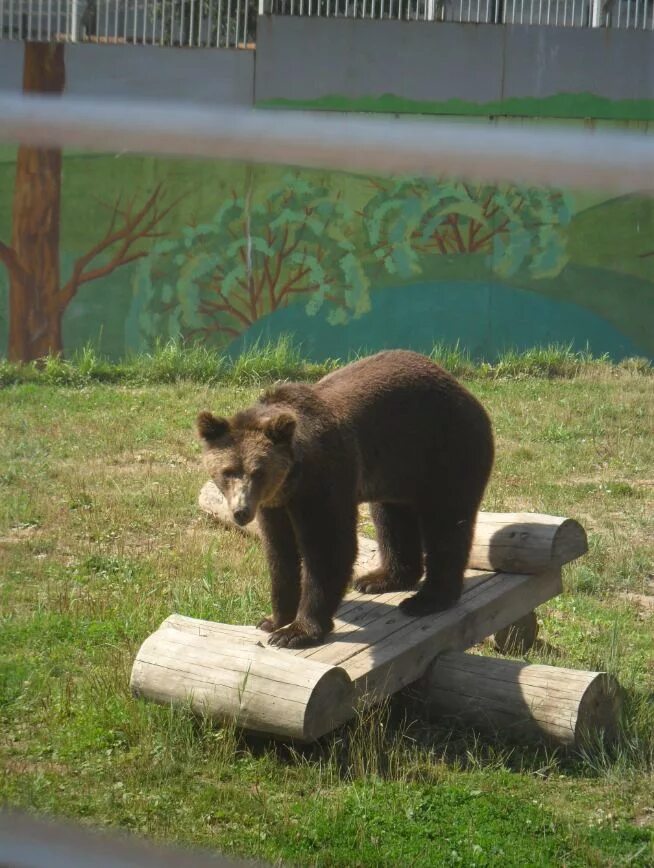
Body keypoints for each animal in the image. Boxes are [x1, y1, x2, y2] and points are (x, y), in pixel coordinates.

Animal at [197, 350, 494, 648]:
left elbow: (329, 547)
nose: (241, 511)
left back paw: (427, 599)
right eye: (228, 472)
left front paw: (297, 631)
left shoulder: (324, 481)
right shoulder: (274, 504)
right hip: (395, 469)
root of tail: (463, 389)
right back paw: (382, 579)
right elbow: (279, 553)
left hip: (446, 448)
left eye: (258, 472)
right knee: (391, 518)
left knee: (446, 522)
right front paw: (273, 620)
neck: (294, 479)